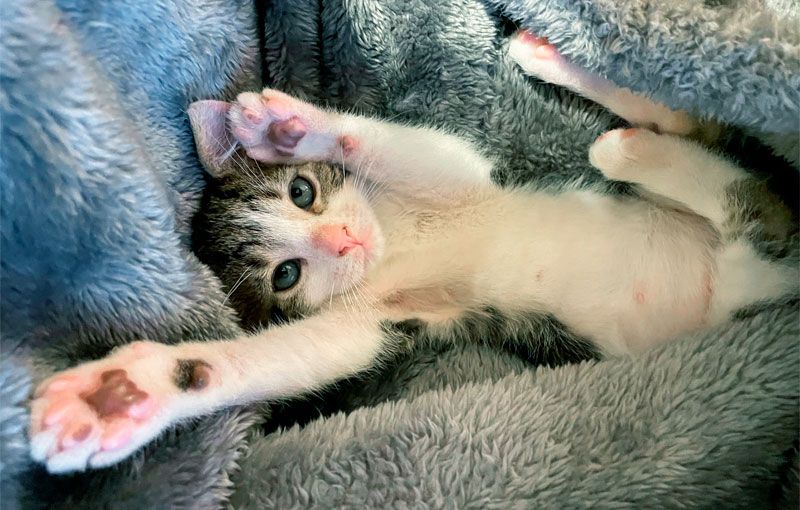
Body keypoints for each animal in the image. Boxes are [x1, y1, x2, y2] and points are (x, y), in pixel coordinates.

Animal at [26, 29, 792, 472]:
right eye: (286, 274)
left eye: (302, 192)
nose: (345, 239)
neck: (396, 242)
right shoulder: (373, 317)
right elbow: (303, 354)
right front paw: (120, 395)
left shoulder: (463, 181)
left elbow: (408, 148)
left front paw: (289, 127)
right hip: (752, 263)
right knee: (746, 199)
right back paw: (625, 145)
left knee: (717, 152)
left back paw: (574, 85)